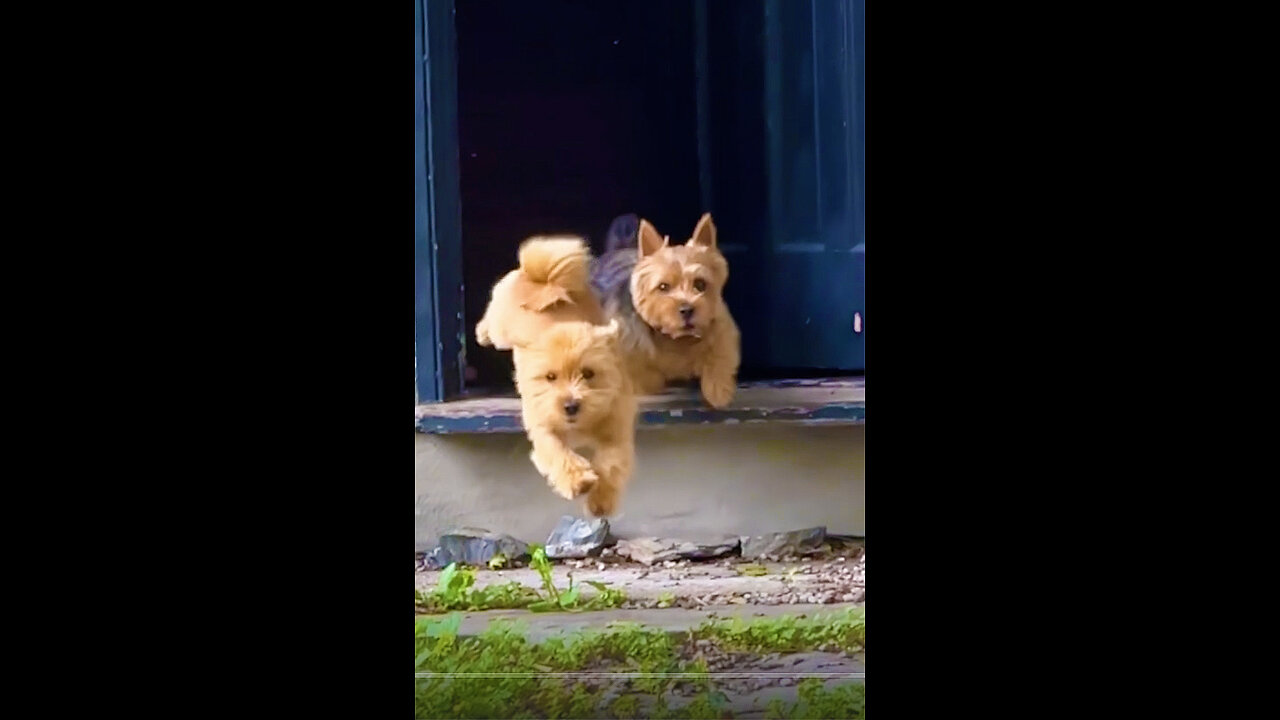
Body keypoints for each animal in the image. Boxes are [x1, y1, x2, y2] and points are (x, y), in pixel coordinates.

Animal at [476, 237, 634, 515]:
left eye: (588, 373)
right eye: (550, 377)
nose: (571, 405)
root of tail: (539, 278)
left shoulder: (616, 431)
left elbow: (611, 462)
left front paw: (601, 501)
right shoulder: (542, 427)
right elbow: (557, 452)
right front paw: (578, 481)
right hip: (500, 325)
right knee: (491, 322)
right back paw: (481, 333)